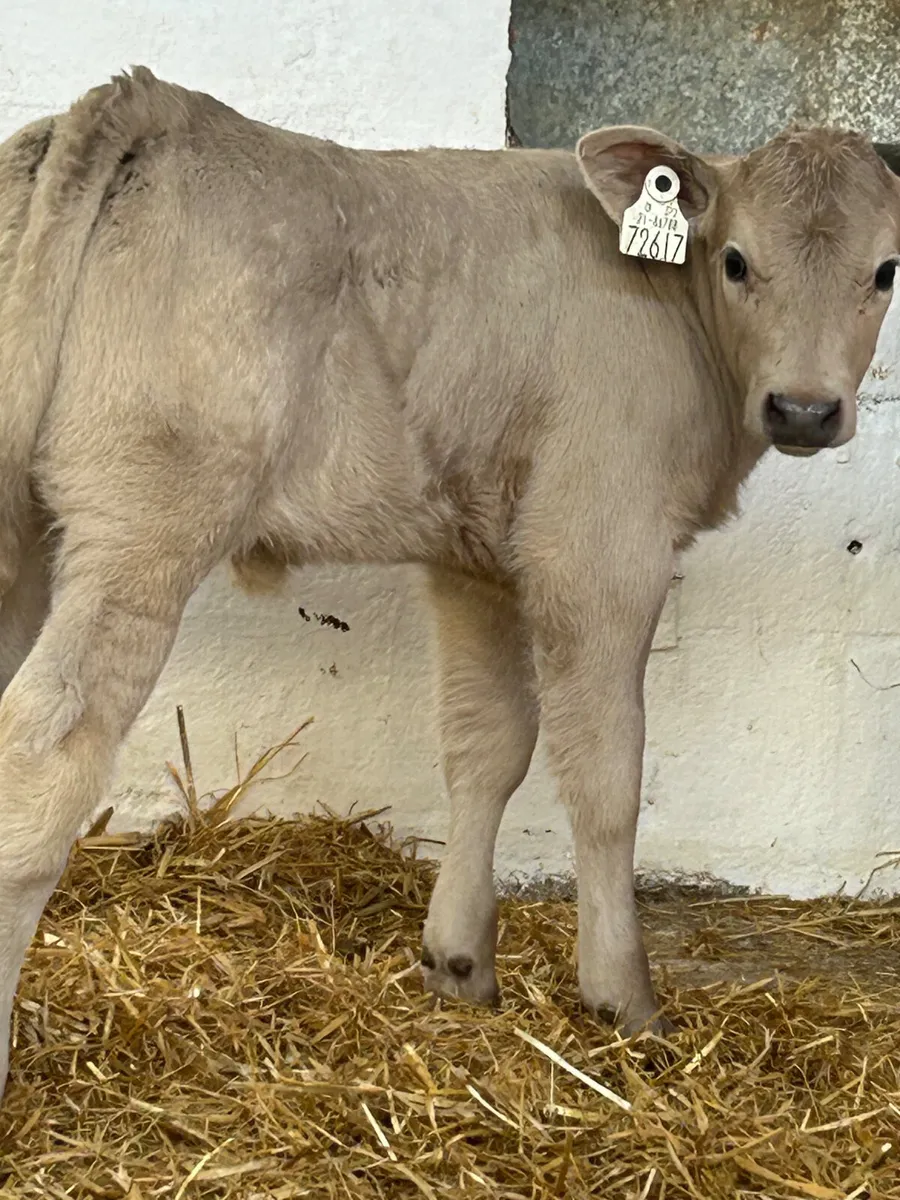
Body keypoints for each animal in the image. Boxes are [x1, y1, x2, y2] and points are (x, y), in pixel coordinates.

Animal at [0, 67, 897, 1101]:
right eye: (739, 262)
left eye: (887, 271)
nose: (804, 409)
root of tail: (154, 105)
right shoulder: (598, 542)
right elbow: (608, 772)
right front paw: (624, 998)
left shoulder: (479, 558)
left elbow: (488, 745)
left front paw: (460, 963)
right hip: (145, 523)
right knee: (41, 746)